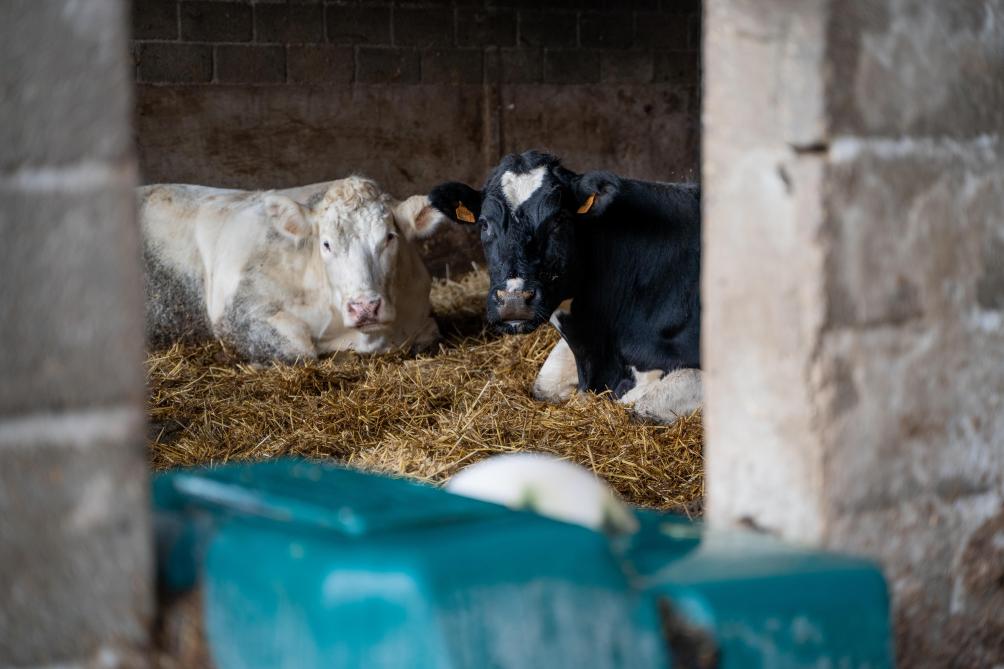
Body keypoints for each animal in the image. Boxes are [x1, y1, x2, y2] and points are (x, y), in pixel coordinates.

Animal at [139, 171, 445, 359]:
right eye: (326, 244)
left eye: (389, 237)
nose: (365, 308)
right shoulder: (236, 314)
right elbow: (300, 350)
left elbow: (431, 333)